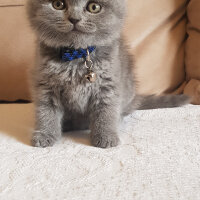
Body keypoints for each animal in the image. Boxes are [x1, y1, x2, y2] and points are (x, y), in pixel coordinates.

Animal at [26, 0, 189, 148]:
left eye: (94, 7)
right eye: (58, 4)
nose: (74, 18)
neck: (77, 56)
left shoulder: (108, 85)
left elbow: (106, 111)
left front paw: (106, 136)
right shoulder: (45, 85)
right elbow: (46, 111)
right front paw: (45, 134)